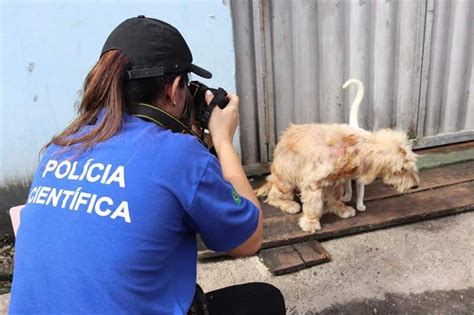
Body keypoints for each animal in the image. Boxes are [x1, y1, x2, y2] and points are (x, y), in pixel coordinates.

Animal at [256, 85, 418, 233]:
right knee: (273, 196)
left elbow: (335, 197)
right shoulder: (313, 182)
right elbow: (313, 205)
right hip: (286, 179)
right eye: (401, 169)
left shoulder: (335, 180)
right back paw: (289, 205)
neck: (351, 148)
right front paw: (311, 222)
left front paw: (341, 209)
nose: (416, 186)